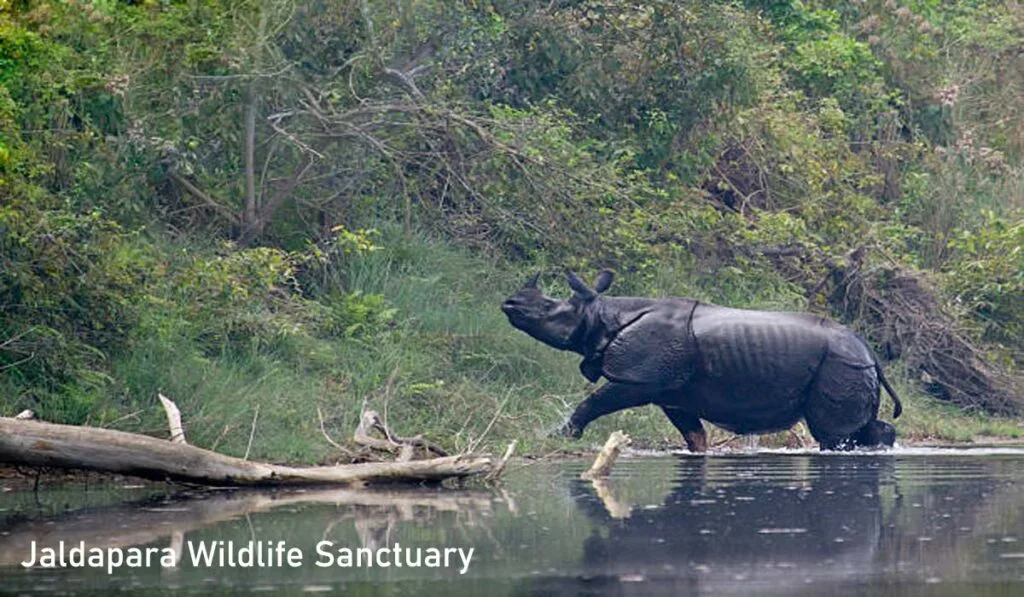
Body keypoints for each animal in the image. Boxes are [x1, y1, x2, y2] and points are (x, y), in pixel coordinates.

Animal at [501, 270, 901, 451]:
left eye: (551, 309)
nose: (509, 303)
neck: (603, 315)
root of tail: (870, 352)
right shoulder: (671, 391)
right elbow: (694, 434)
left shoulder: (639, 379)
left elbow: (594, 402)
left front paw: (558, 436)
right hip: (849, 365)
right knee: (858, 429)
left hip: (840, 364)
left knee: (834, 434)